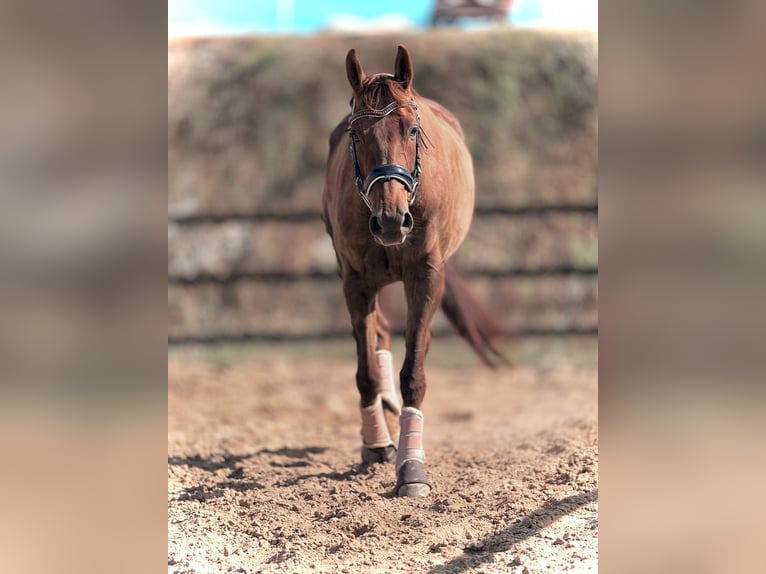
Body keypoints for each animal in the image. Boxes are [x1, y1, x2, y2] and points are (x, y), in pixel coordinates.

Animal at [322, 46, 504, 497]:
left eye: (410, 130)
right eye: (357, 136)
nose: (391, 221)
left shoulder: (425, 278)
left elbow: (414, 375)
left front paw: (412, 468)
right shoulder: (355, 281)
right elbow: (367, 372)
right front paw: (376, 444)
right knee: (381, 338)